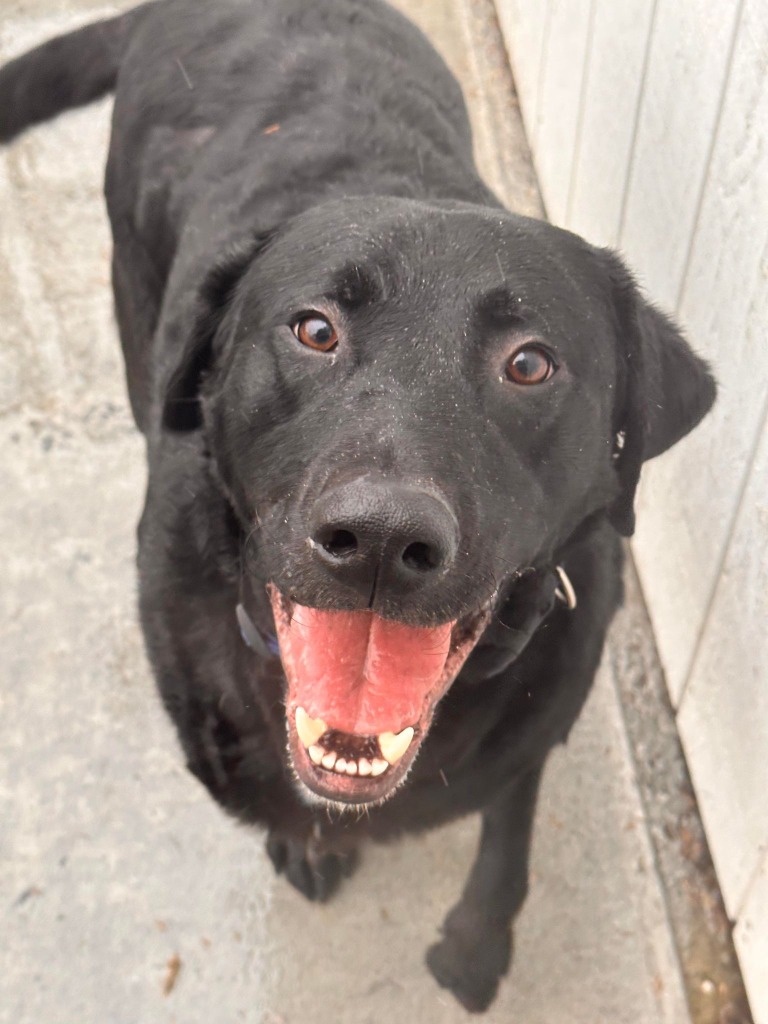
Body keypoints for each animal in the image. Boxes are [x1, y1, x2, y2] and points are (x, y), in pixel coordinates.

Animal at [1, 0, 716, 1007]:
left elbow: (511, 825)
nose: (380, 538)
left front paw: (478, 942)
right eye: (314, 330)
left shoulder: (542, 708)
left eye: (530, 363)